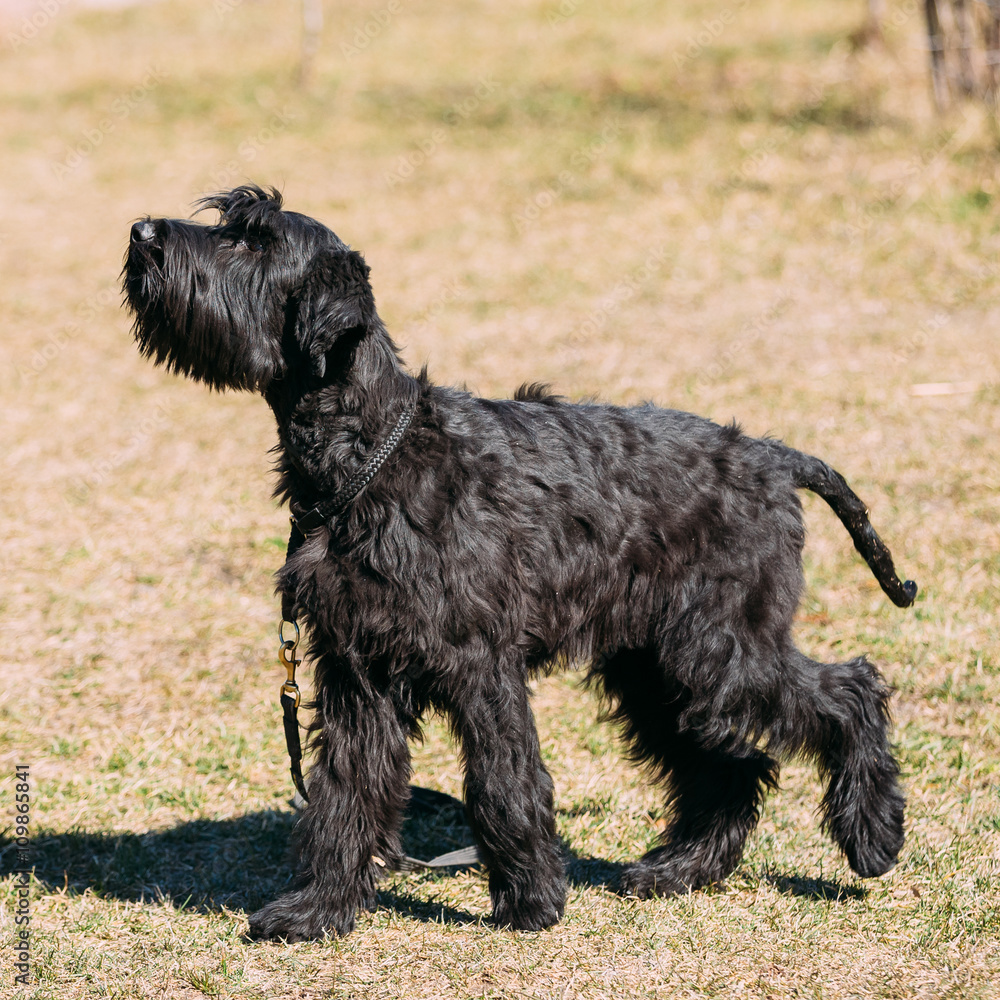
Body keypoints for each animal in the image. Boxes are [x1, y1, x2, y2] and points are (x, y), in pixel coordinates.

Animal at [123, 186, 916, 936]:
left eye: (253, 240)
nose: (142, 231)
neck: (372, 456)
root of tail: (773, 459)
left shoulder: (481, 663)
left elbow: (503, 782)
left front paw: (532, 902)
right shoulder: (356, 671)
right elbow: (347, 791)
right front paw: (317, 909)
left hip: (720, 650)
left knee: (849, 690)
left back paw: (872, 836)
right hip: (658, 668)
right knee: (733, 766)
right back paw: (679, 868)